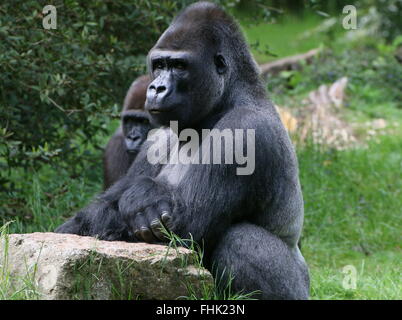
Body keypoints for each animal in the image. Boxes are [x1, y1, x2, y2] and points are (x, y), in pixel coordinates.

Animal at [55, 1, 308, 300]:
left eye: (179, 65)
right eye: (159, 65)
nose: (156, 88)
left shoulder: (245, 130)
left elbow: (185, 224)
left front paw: (142, 199)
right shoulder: (156, 137)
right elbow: (97, 212)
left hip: (300, 288)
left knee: (240, 240)